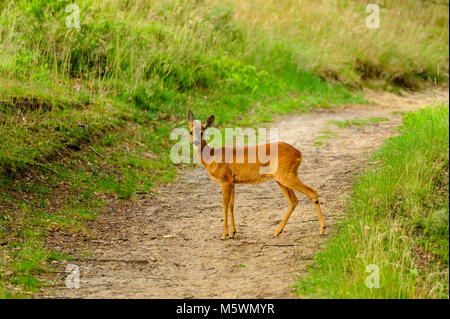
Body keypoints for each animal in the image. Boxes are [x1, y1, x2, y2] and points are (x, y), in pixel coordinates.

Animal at [188, 111, 326, 241]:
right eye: (190, 132)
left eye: (202, 132)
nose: (195, 142)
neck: (211, 157)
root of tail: (299, 153)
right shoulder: (232, 181)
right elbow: (232, 205)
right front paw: (233, 233)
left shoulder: (224, 180)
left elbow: (224, 205)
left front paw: (224, 235)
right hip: (281, 178)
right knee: (294, 200)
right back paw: (277, 232)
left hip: (286, 175)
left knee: (311, 191)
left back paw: (322, 229)